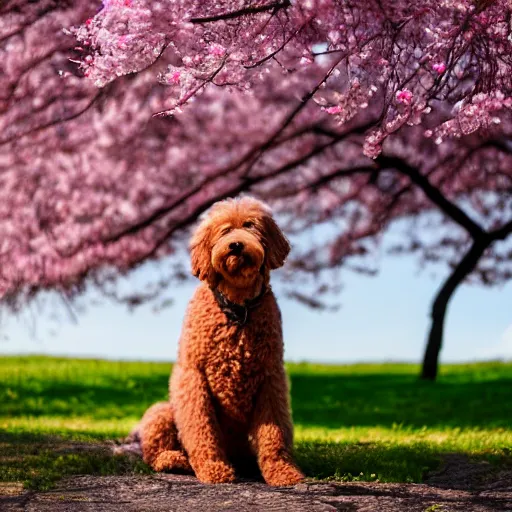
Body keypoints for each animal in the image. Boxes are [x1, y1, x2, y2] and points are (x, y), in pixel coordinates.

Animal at [136, 197, 304, 488]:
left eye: (249, 226)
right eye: (224, 230)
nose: (236, 244)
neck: (238, 307)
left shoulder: (270, 377)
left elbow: (274, 432)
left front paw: (282, 471)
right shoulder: (193, 376)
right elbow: (201, 427)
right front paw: (212, 467)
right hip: (163, 411)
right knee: (155, 451)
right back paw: (176, 460)